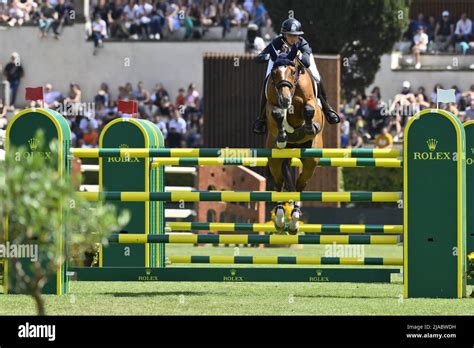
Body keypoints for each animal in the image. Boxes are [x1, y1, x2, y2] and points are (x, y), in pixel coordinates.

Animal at [264, 43, 324, 234]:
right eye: (274, 73)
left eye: (292, 71)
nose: (284, 99)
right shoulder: (271, 106)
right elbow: (276, 113)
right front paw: (283, 135)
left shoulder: (311, 104)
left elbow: (309, 110)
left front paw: (309, 126)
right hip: (275, 160)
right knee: (279, 184)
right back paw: (280, 218)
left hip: (311, 160)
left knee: (299, 186)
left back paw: (294, 220)